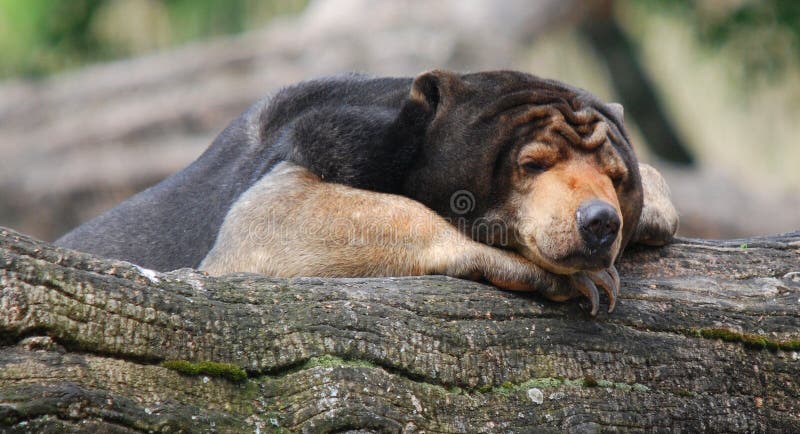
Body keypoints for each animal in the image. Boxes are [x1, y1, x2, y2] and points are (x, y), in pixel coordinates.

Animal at [56, 70, 680, 316]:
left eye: (617, 179)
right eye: (531, 164)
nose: (598, 223)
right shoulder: (325, 140)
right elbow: (264, 221)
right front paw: (567, 276)